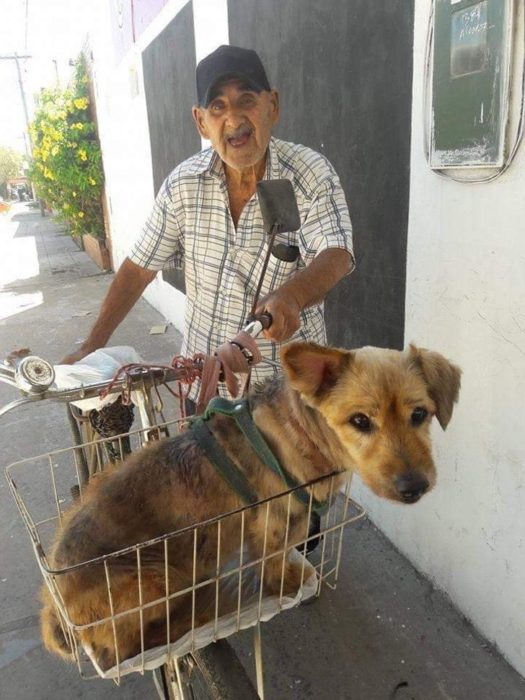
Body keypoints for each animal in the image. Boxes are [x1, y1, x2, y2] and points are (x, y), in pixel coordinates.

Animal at [40, 342, 458, 668]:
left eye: (419, 414)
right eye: (360, 421)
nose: (414, 487)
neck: (302, 433)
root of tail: (56, 607)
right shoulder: (273, 523)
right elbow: (273, 563)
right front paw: (288, 582)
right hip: (156, 577)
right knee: (129, 646)